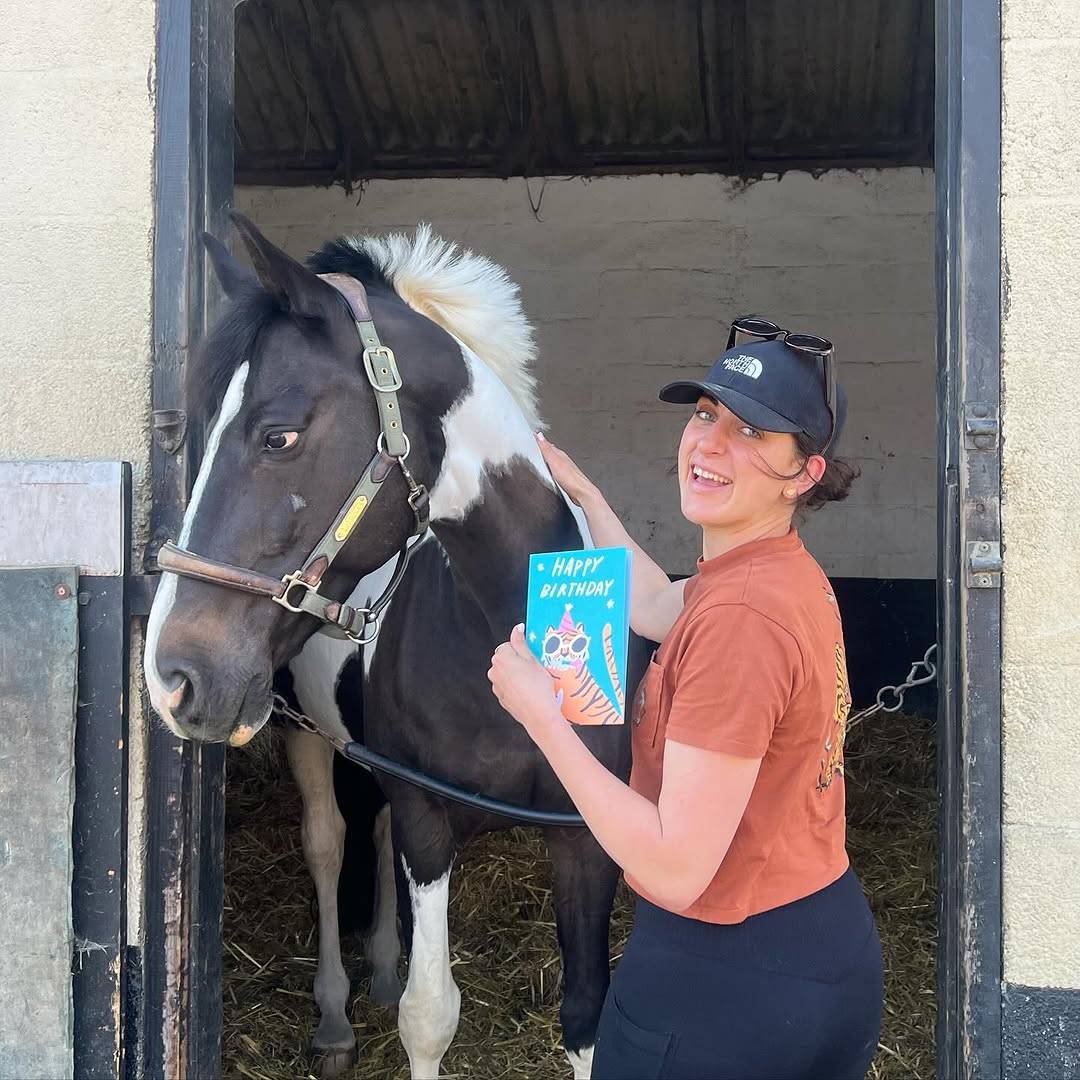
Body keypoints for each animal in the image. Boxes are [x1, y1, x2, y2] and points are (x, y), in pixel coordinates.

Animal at [143, 211, 646, 1078]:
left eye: (279, 436)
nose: (172, 676)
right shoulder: (427, 819)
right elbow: (430, 1015)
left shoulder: (585, 838)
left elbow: (587, 1017)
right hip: (302, 732)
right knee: (330, 842)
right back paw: (337, 1018)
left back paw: (377, 968)